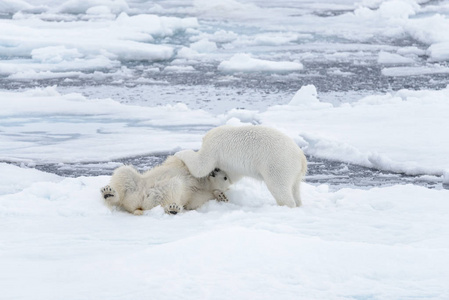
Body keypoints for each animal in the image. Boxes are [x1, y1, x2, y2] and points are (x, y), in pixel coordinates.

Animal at [101, 155, 231, 216]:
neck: (203, 183)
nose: (215, 170)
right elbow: (178, 161)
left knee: (175, 186)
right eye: (219, 169)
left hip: (153, 199)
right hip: (137, 184)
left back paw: (172, 209)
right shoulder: (183, 168)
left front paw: (221, 196)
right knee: (124, 173)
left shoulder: (200, 194)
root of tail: (139, 204)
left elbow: (194, 203)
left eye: (225, 177)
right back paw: (109, 192)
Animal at [173, 125, 306, 207]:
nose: (215, 171)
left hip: (278, 164)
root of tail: (301, 157)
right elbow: (231, 176)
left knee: (279, 188)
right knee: (295, 188)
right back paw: (299, 203)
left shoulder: (214, 147)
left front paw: (179, 153)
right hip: (294, 172)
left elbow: (201, 166)